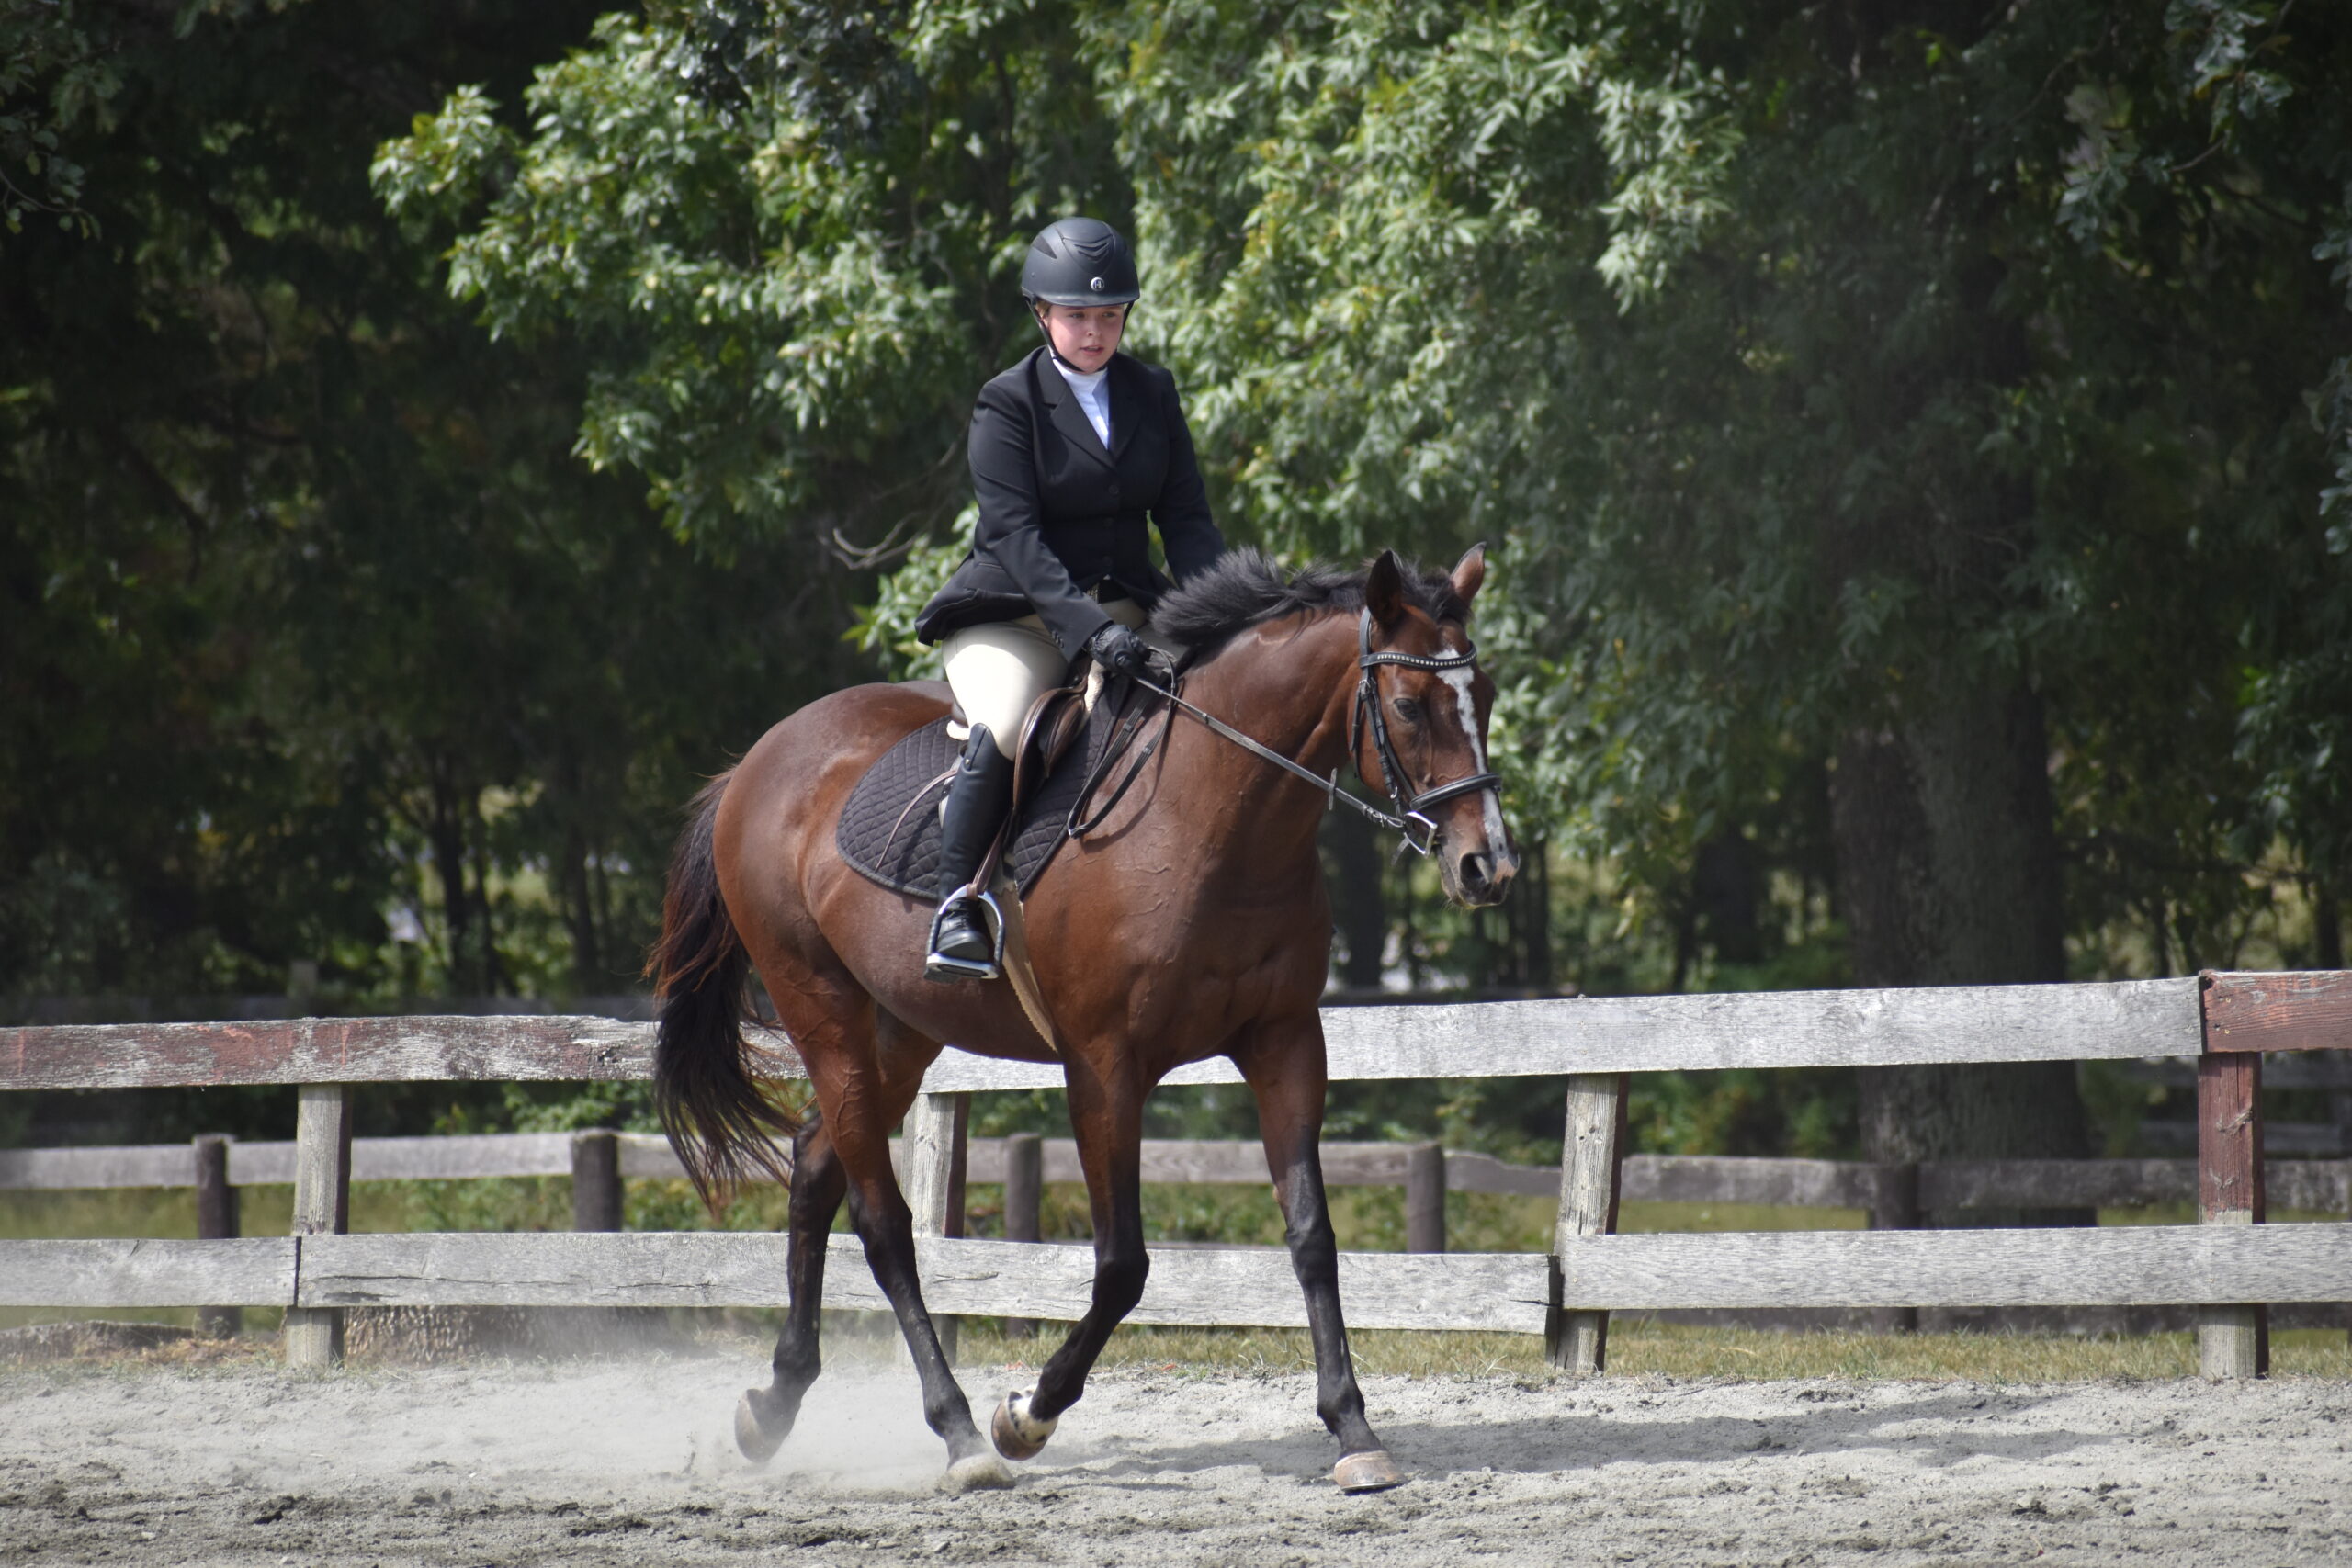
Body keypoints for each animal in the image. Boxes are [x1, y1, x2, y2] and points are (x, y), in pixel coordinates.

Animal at [653, 545, 1514, 1495]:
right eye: (1409, 705)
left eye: (1486, 696)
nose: (1487, 866)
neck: (1214, 818)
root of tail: (757, 761)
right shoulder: (1103, 1066)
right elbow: (1122, 1265)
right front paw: (1025, 1415)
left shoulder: (1286, 1042)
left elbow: (1311, 1236)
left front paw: (1354, 1429)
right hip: (822, 1009)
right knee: (883, 1225)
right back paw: (960, 1434)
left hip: (902, 1028)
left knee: (814, 1168)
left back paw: (772, 1406)